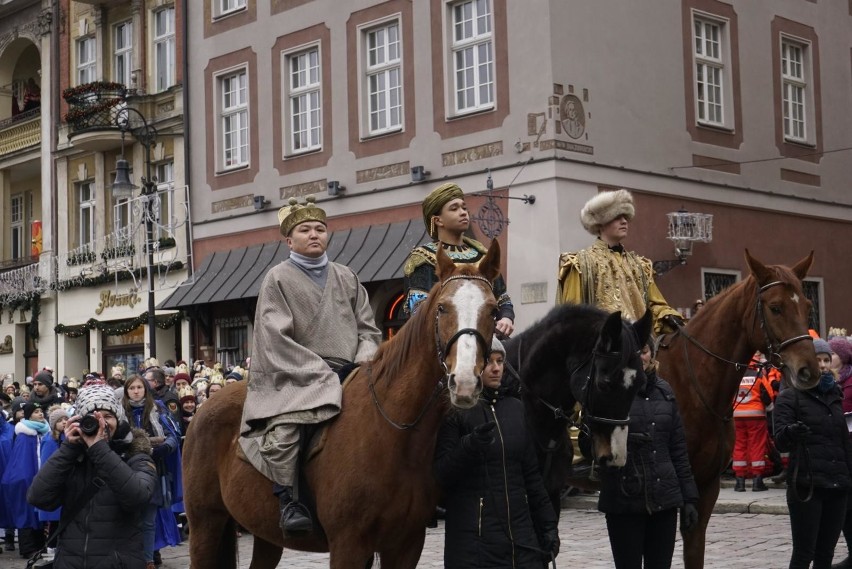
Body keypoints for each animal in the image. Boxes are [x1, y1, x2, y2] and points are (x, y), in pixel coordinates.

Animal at [180, 242, 500, 564]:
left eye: (493, 310)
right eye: (442, 308)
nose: (464, 382)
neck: (394, 432)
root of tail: (202, 412)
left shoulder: (407, 543)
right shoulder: (349, 543)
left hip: (264, 533)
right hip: (205, 523)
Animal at [652, 251, 820, 564]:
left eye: (808, 306)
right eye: (775, 307)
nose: (809, 372)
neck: (691, 385)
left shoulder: (706, 485)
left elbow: (694, 551)